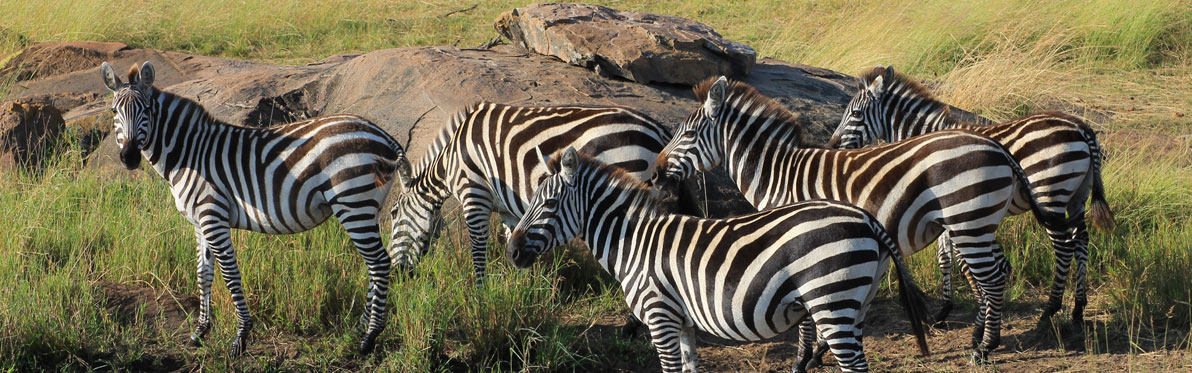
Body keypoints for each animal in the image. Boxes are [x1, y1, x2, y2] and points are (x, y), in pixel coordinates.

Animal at [98, 61, 405, 355]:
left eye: (147, 110)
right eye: (114, 111)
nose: (129, 158)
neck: (189, 154)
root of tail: (384, 135)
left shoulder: (213, 215)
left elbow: (230, 275)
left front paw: (241, 337)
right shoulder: (199, 221)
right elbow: (203, 274)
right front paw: (200, 332)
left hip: (353, 201)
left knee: (379, 263)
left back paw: (369, 338)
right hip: (366, 205)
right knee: (374, 265)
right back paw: (360, 329)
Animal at [386, 101, 696, 281]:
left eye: (393, 214)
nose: (396, 274)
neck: (452, 158)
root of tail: (659, 130)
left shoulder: (474, 194)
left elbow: (478, 248)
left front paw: (479, 292)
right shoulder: (507, 207)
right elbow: (512, 238)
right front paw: (519, 286)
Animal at [503, 147, 929, 371]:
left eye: (549, 204)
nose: (511, 252)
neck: (633, 243)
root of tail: (864, 217)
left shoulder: (659, 316)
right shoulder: (683, 322)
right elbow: (689, 369)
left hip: (831, 299)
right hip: (854, 301)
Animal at [648, 76, 1068, 362]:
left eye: (687, 135)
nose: (653, 174)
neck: (780, 175)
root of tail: (994, 144)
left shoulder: (800, 244)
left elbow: (806, 317)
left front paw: (805, 357)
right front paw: (819, 353)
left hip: (968, 221)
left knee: (993, 277)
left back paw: (984, 348)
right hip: (979, 223)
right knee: (997, 271)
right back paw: (983, 335)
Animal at [829, 64, 1115, 324]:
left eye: (855, 113)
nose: (832, 145)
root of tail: (1081, 127)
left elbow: (955, 259)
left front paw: (977, 306)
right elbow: (949, 258)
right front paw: (952, 308)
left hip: (1050, 194)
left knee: (1064, 246)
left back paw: (1051, 309)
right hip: (1077, 195)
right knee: (1081, 241)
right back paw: (1078, 308)